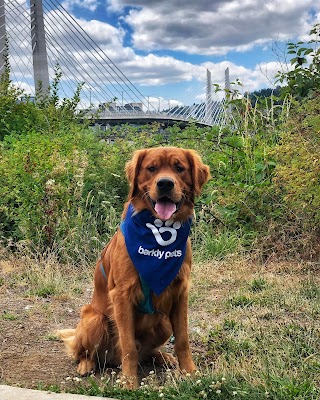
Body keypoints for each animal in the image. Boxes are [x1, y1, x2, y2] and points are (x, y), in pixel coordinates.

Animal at [57, 146, 210, 388]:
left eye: (179, 168)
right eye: (151, 168)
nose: (165, 184)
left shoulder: (181, 292)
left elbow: (183, 340)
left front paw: (190, 372)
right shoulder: (122, 295)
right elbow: (128, 345)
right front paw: (129, 382)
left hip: (163, 322)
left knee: (146, 352)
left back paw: (162, 357)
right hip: (95, 319)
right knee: (86, 352)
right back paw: (86, 365)